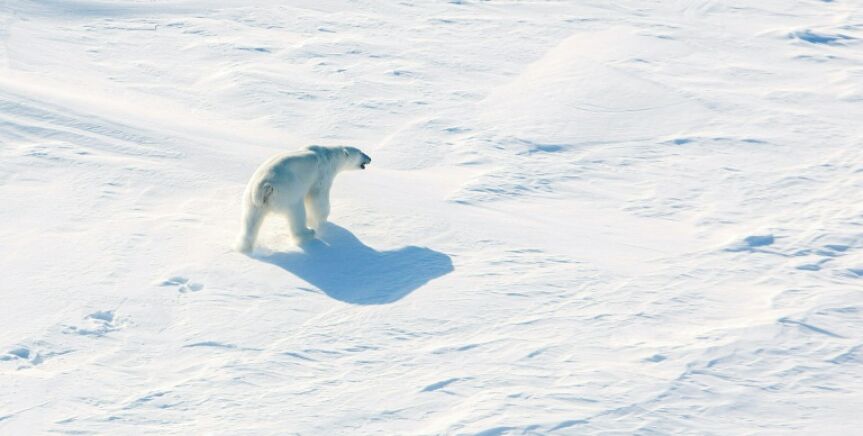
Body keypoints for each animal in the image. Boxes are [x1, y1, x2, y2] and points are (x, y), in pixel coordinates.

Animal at [236, 145, 371, 253]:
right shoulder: (322, 174)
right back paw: (308, 232)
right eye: (361, 152)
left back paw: (244, 247)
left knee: (250, 221)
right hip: (287, 191)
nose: (370, 158)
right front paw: (321, 220)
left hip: (252, 200)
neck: (328, 156)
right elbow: (318, 198)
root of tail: (263, 187)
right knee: (297, 211)